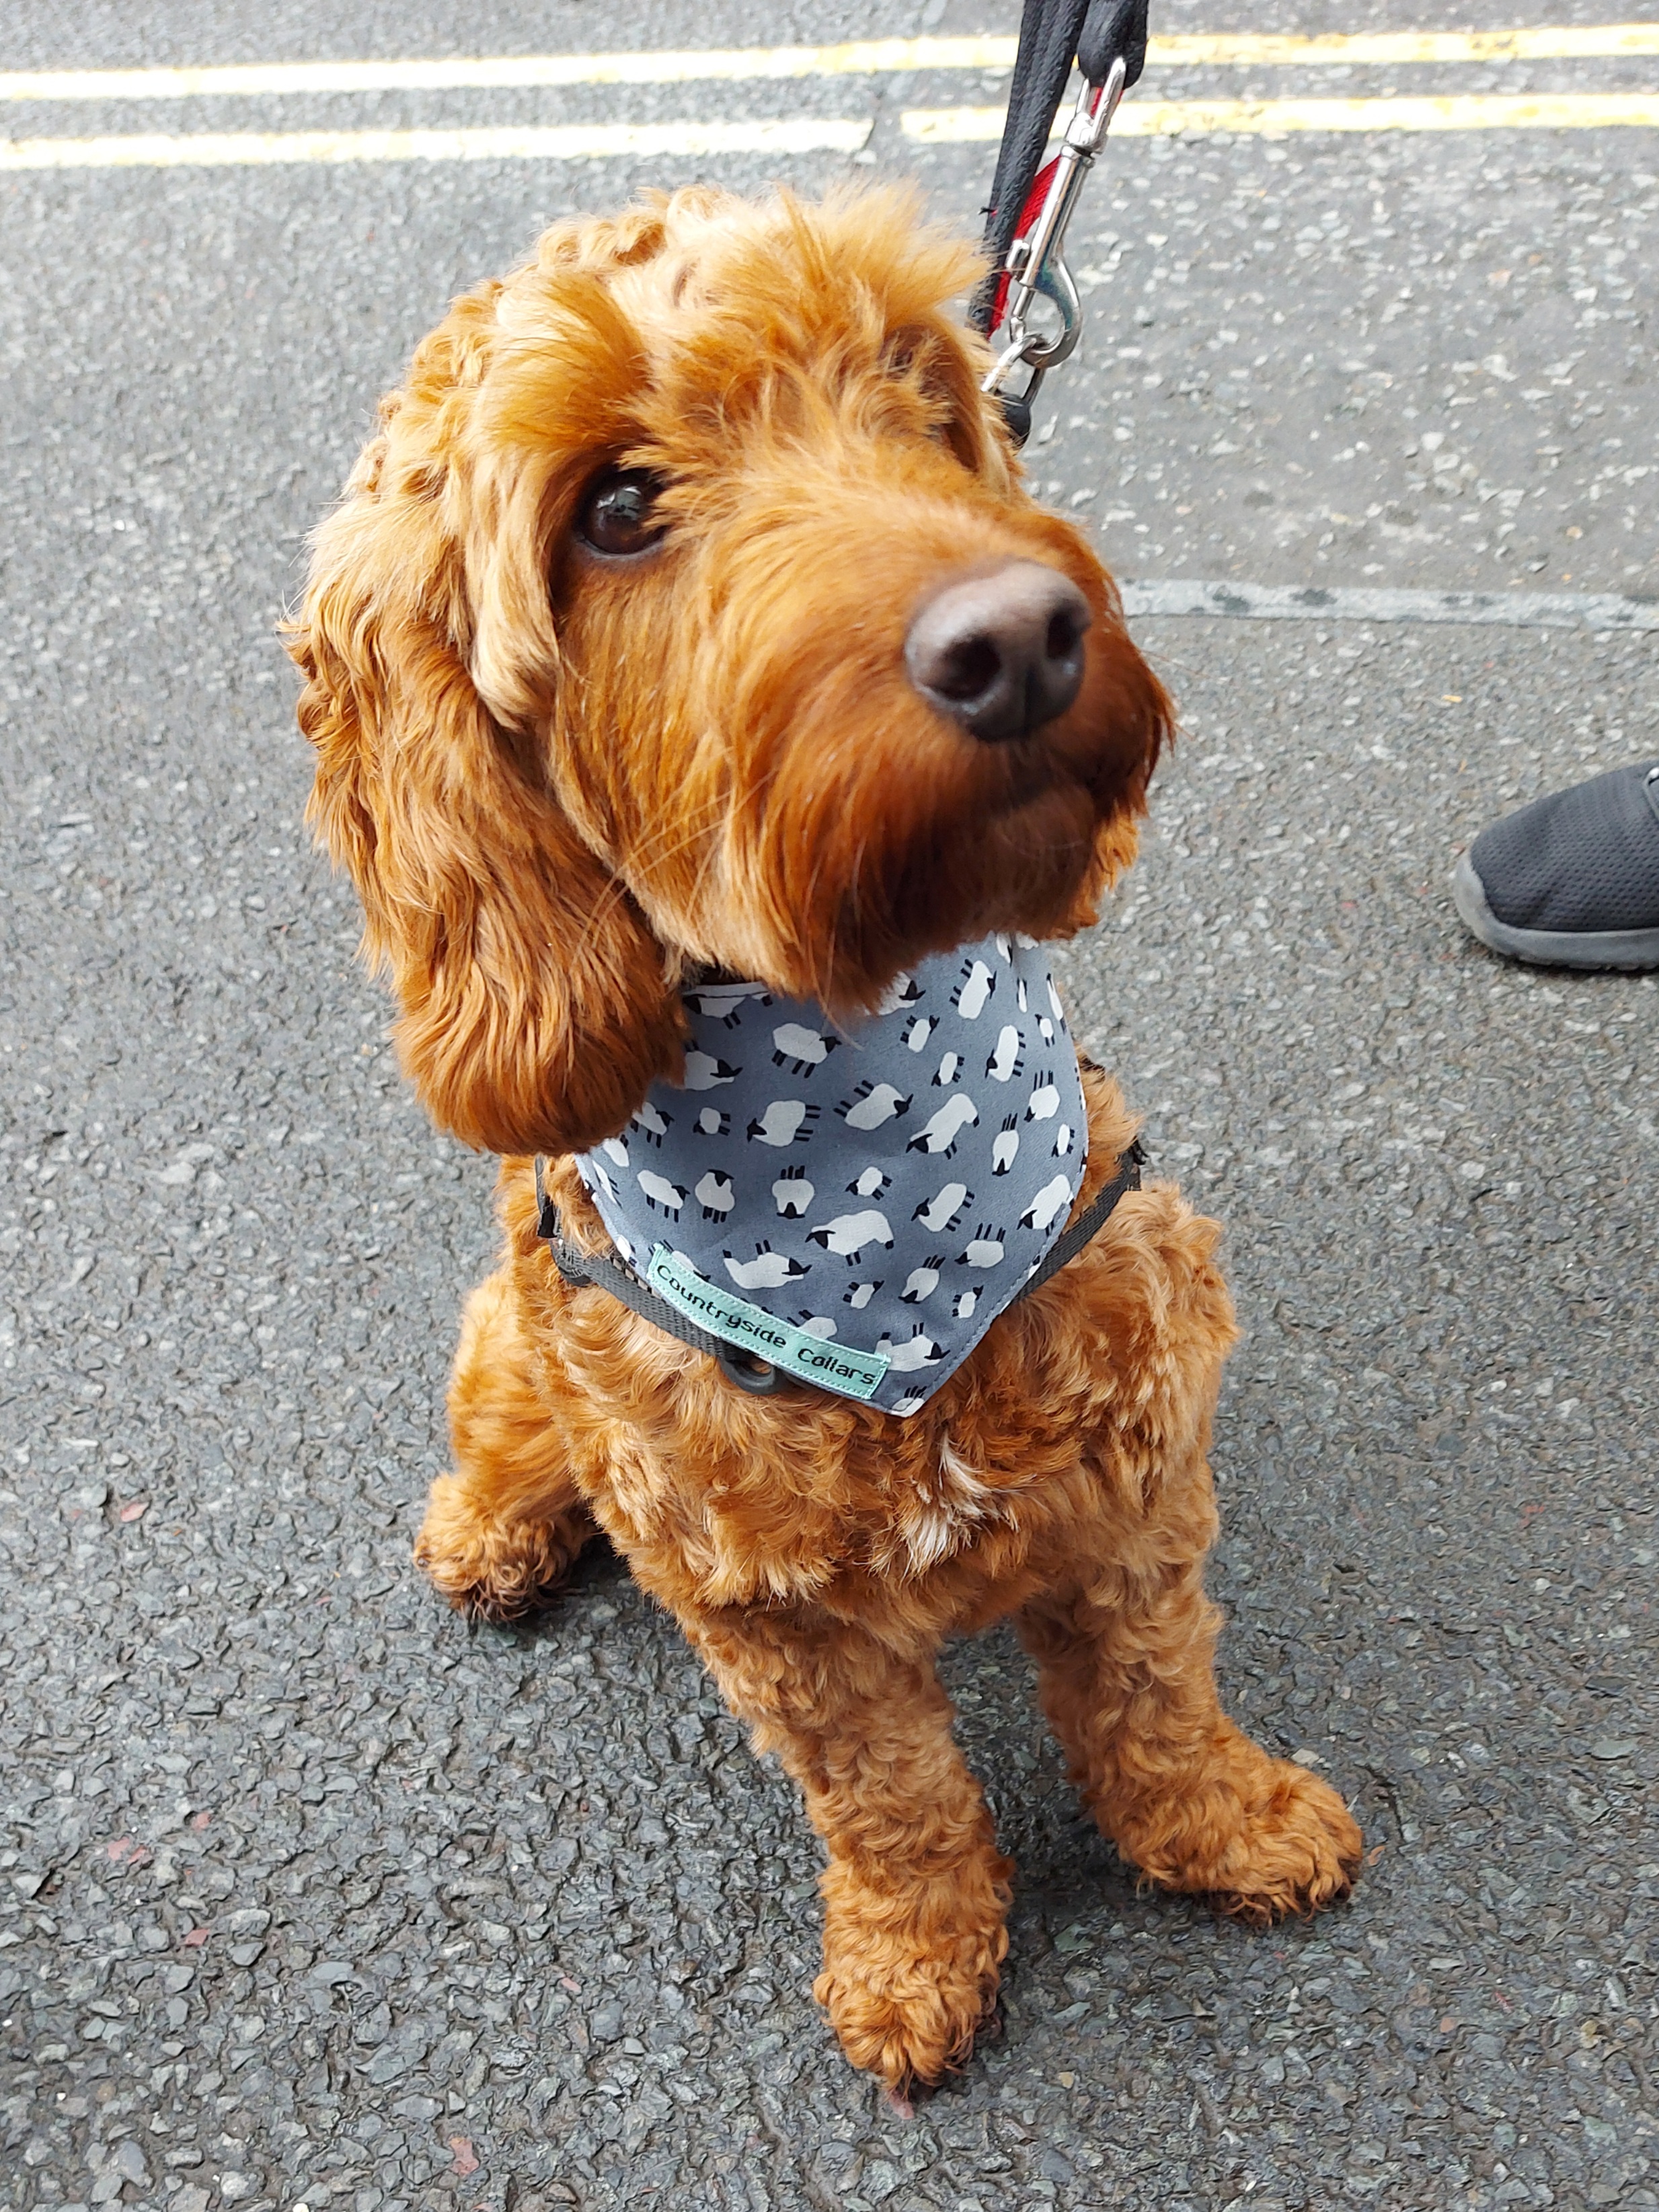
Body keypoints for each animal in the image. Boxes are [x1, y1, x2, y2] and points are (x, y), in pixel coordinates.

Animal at [292, 177, 1362, 2088]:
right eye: (614, 509)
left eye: (914, 389)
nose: (1017, 636)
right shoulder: (778, 1624)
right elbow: (895, 1801)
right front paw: (918, 1955)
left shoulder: (1139, 1471)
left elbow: (1156, 1688)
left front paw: (1220, 1822)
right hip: (512, 1344)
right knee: (503, 1444)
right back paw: (487, 1532)